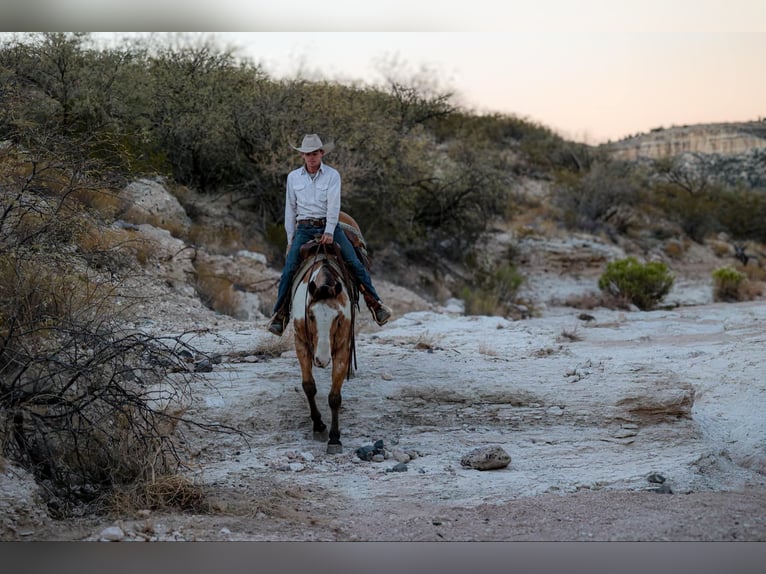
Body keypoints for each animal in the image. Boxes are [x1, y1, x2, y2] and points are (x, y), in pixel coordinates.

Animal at [289, 215, 363, 454]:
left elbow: (334, 396)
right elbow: (309, 386)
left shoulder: (342, 348)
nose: (321, 359)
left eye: (338, 319)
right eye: (310, 316)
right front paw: (319, 426)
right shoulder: (301, 343)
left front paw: (334, 438)